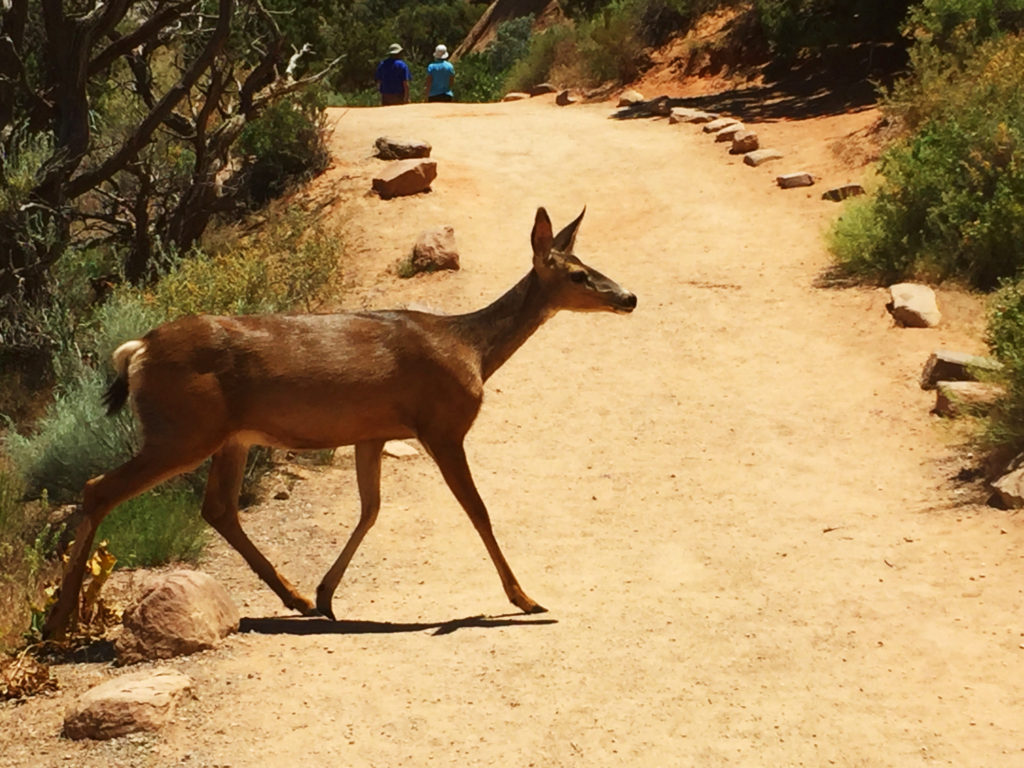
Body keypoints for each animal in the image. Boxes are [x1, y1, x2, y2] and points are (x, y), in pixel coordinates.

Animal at [44, 207, 634, 638]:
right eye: (579, 274)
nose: (629, 296)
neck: (471, 348)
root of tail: (135, 350)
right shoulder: (442, 425)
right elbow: (479, 511)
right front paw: (524, 597)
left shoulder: (373, 433)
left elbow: (371, 509)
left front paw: (328, 594)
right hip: (182, 430)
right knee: (99, 488)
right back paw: (58, 622)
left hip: (227, 437)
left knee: (217, 508)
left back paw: (298, 597)